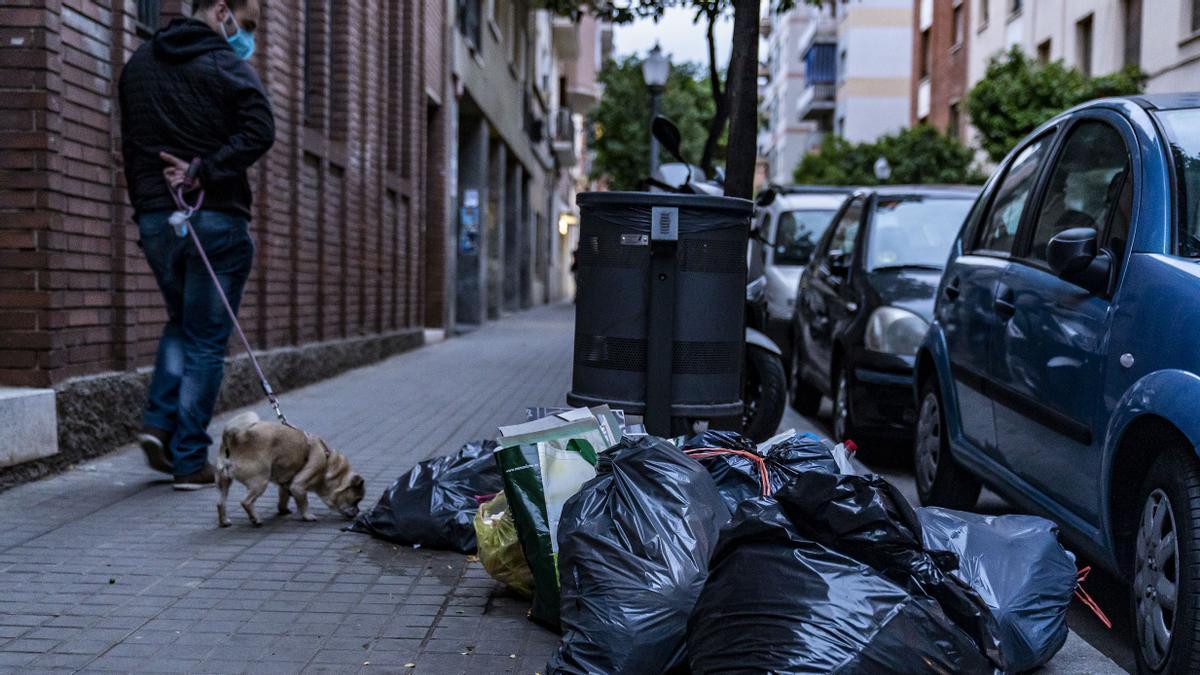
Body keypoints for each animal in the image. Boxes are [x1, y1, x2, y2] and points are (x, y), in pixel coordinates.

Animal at [216, 410, 364, 526]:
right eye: (356, 501)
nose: (358, 511)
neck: (328, 466)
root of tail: (235, 438)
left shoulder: (285, 485)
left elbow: (283, 498)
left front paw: (283, 510)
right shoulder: (298, 486)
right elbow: (303, 503)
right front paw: (307, 516)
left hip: (224, 482)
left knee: (221, 503)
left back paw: (224, 522)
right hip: (260, 482)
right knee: (246, 502)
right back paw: (255, 519)